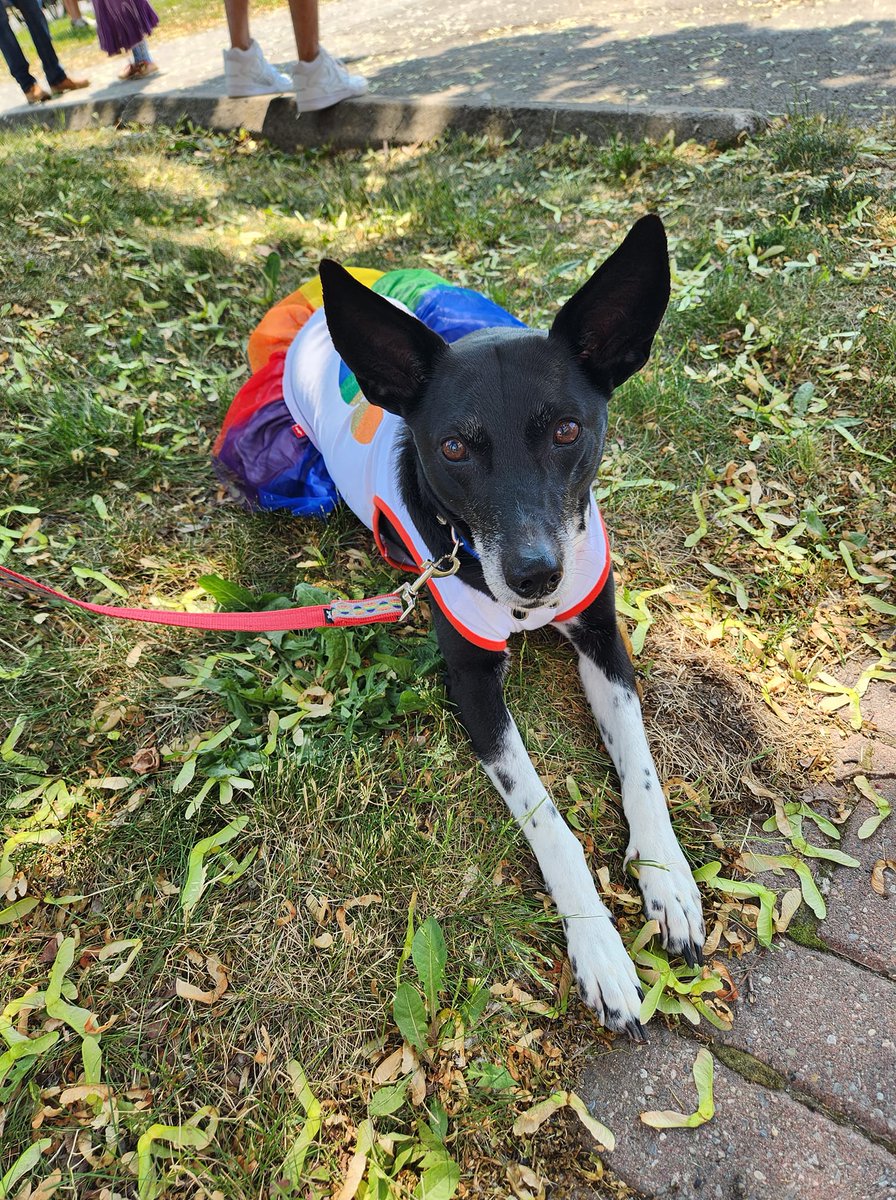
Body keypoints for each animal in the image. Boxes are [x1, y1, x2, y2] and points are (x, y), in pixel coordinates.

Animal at [319, 216, 705, 1041]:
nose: (535, 576)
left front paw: (668, 880)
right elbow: (547, 818)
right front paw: (599, 948)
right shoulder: (470, 682)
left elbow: (642, 769)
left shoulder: (603, 637)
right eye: (454, 448)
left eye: (566, 430)